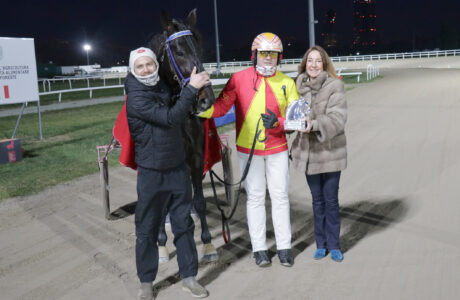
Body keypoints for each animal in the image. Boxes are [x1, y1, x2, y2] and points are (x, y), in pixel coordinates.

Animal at [147, 9, 219, 262]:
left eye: (200, 49)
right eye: (178, 51)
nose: (206, 100)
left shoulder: (196, 157)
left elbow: (199, 200)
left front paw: (208, 244)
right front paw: (160, 244)